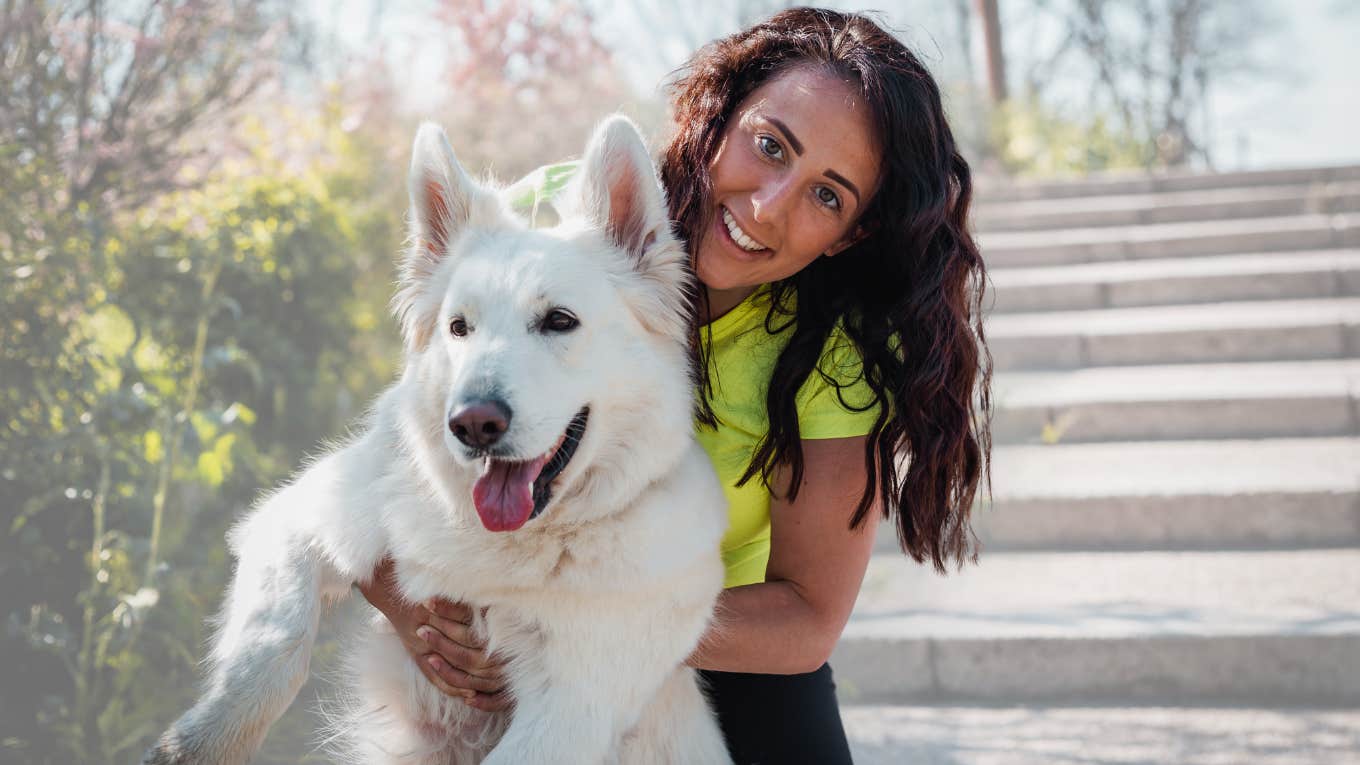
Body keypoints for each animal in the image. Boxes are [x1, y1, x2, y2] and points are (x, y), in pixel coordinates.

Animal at [140, 114, 734, 762]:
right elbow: (271, 650)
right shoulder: (297, 521)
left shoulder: (571, 710)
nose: (473, 423)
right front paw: (194, 745)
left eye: (560, 321)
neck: (505, 540)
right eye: (458, 328)